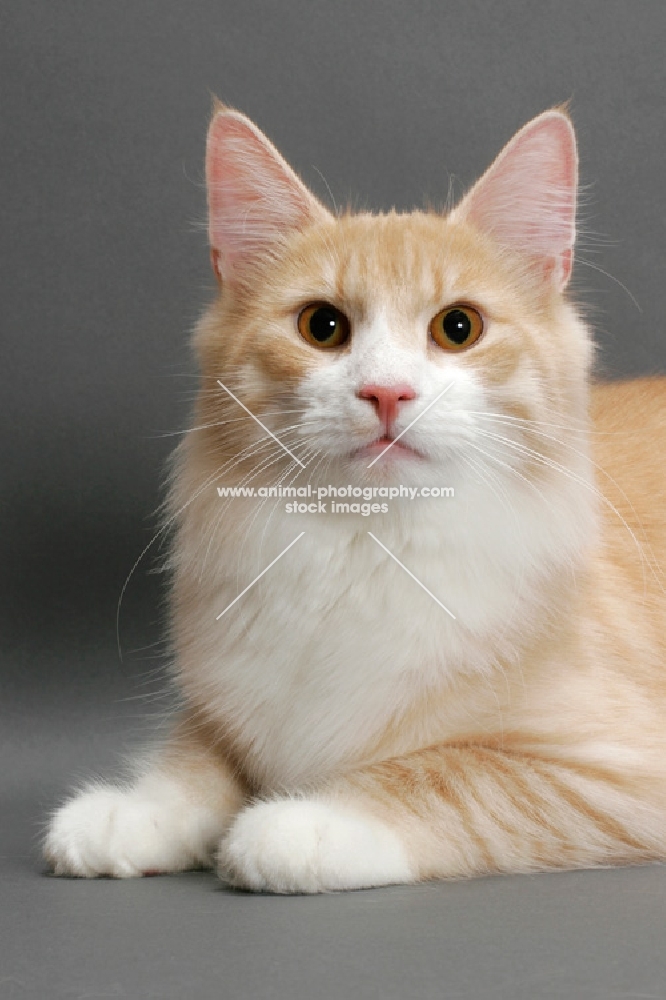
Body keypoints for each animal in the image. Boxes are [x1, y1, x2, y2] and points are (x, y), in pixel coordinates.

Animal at [44, 105, 664, 896]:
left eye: (458, 328)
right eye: (323, 327)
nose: (387, 392)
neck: (366, 544)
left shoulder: (610, 770)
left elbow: (440, 777)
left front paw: (299, 824)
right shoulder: (230, 698)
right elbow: (192, 762)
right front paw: (130, 813)